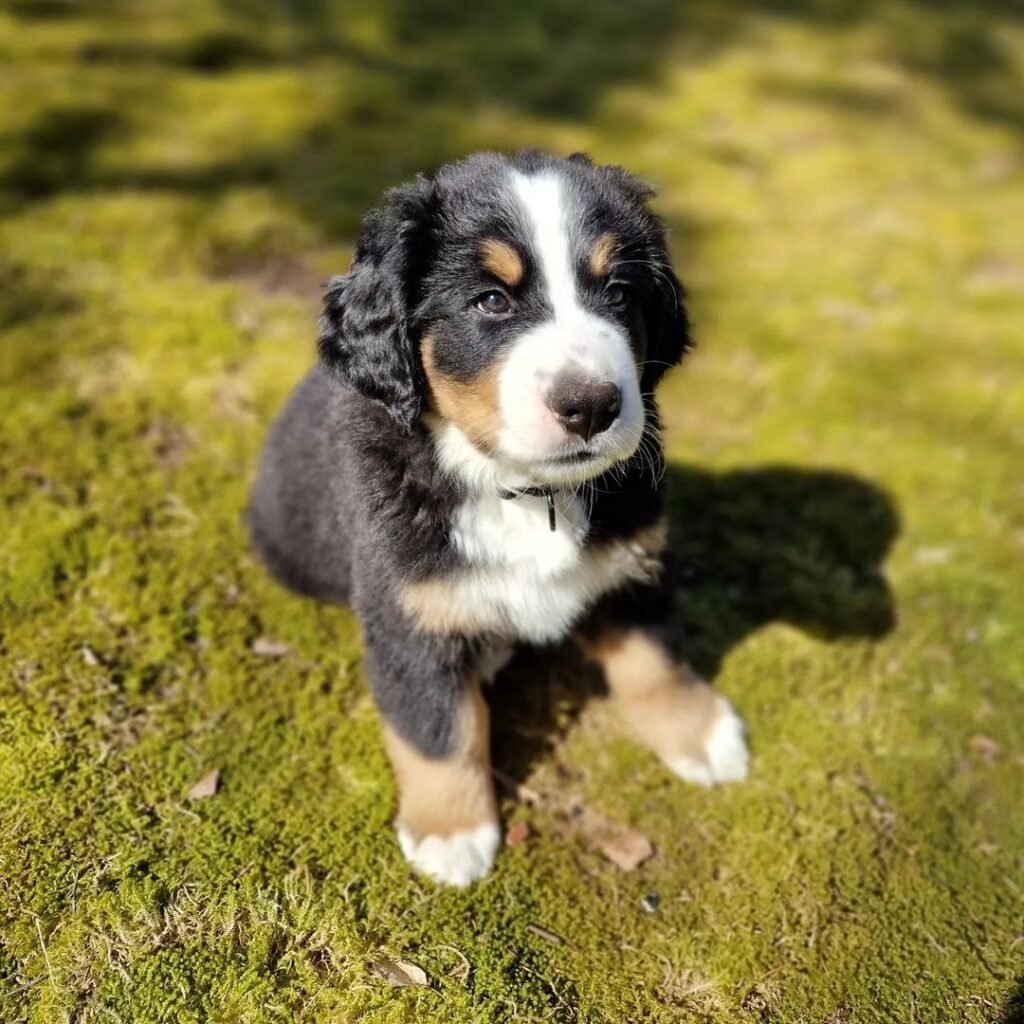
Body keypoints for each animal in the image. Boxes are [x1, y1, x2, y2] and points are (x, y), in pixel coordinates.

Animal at [247, 148, 745, 884]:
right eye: (491, 300)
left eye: (618, 293)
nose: (590, 406)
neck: (525, 492)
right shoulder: (410, 617)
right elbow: (437, 730)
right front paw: (451, 833)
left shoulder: (635, 561)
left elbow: (656, 660)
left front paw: (700, 733)